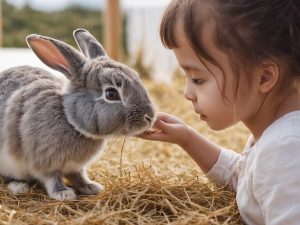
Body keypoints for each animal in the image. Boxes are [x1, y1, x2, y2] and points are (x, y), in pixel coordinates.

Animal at [0, 28, 157, 200]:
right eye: (111, 94)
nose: (150, 117)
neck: (70, 119)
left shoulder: (75, 166)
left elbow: (78, 176)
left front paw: (91, 187)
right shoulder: (44, 162)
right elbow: (52, 178)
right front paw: (63, 193)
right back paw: (19, 186)